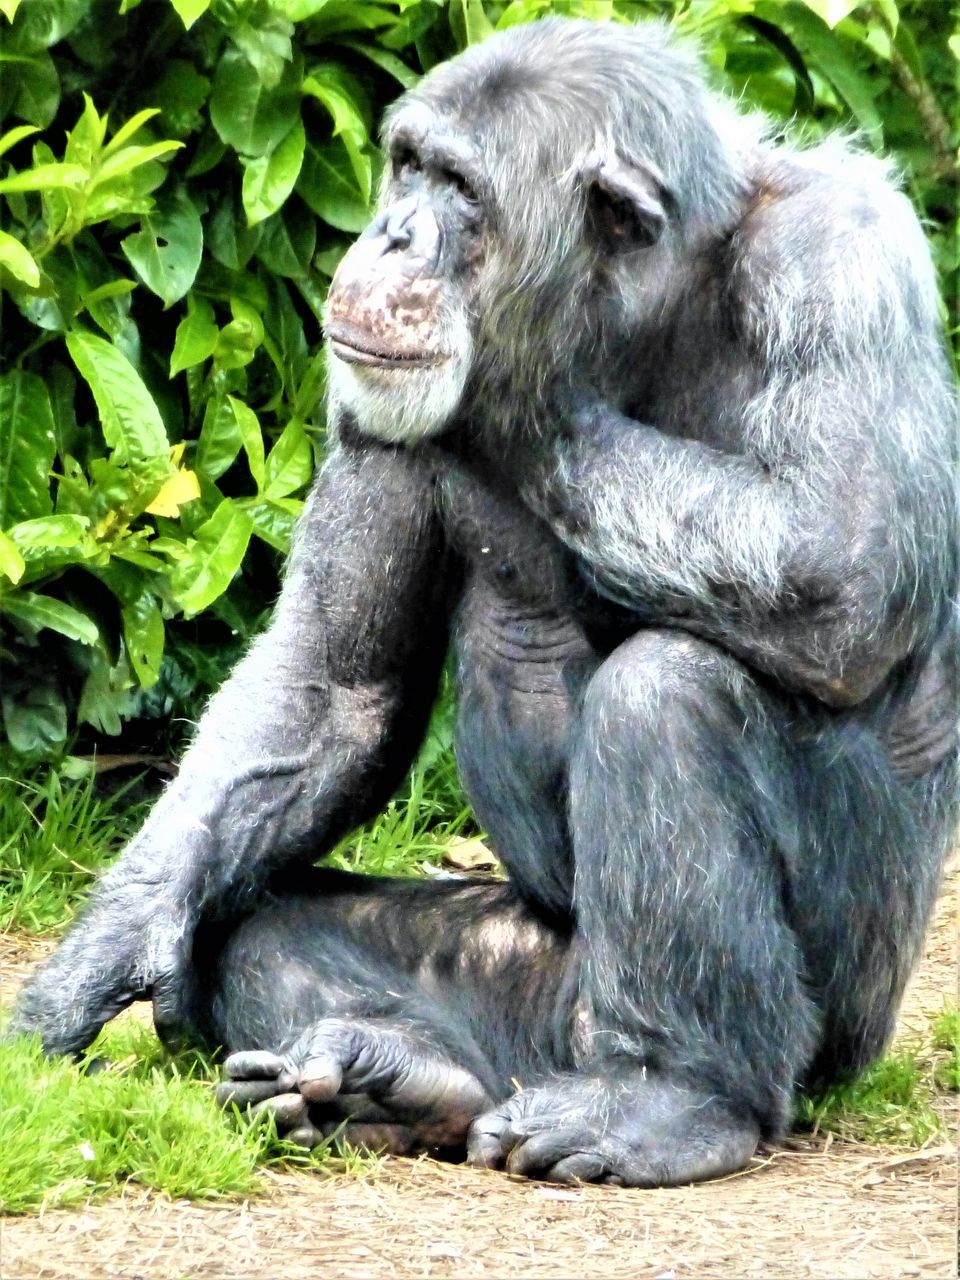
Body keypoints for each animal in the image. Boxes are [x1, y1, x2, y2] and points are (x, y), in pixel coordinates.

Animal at [11, 17, 957, 1187]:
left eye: (458, 186)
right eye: (407, 165)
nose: (390, 236)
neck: (649, 310)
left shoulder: (840, 260)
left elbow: (842, 554)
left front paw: (509, 382)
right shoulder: (361, 401)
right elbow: (334, 683)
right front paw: (101, 959)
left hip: (845, 1000)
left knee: (670, 693)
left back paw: (667, 1099)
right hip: (533, 986)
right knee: (267, 936)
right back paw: (389, 1081)